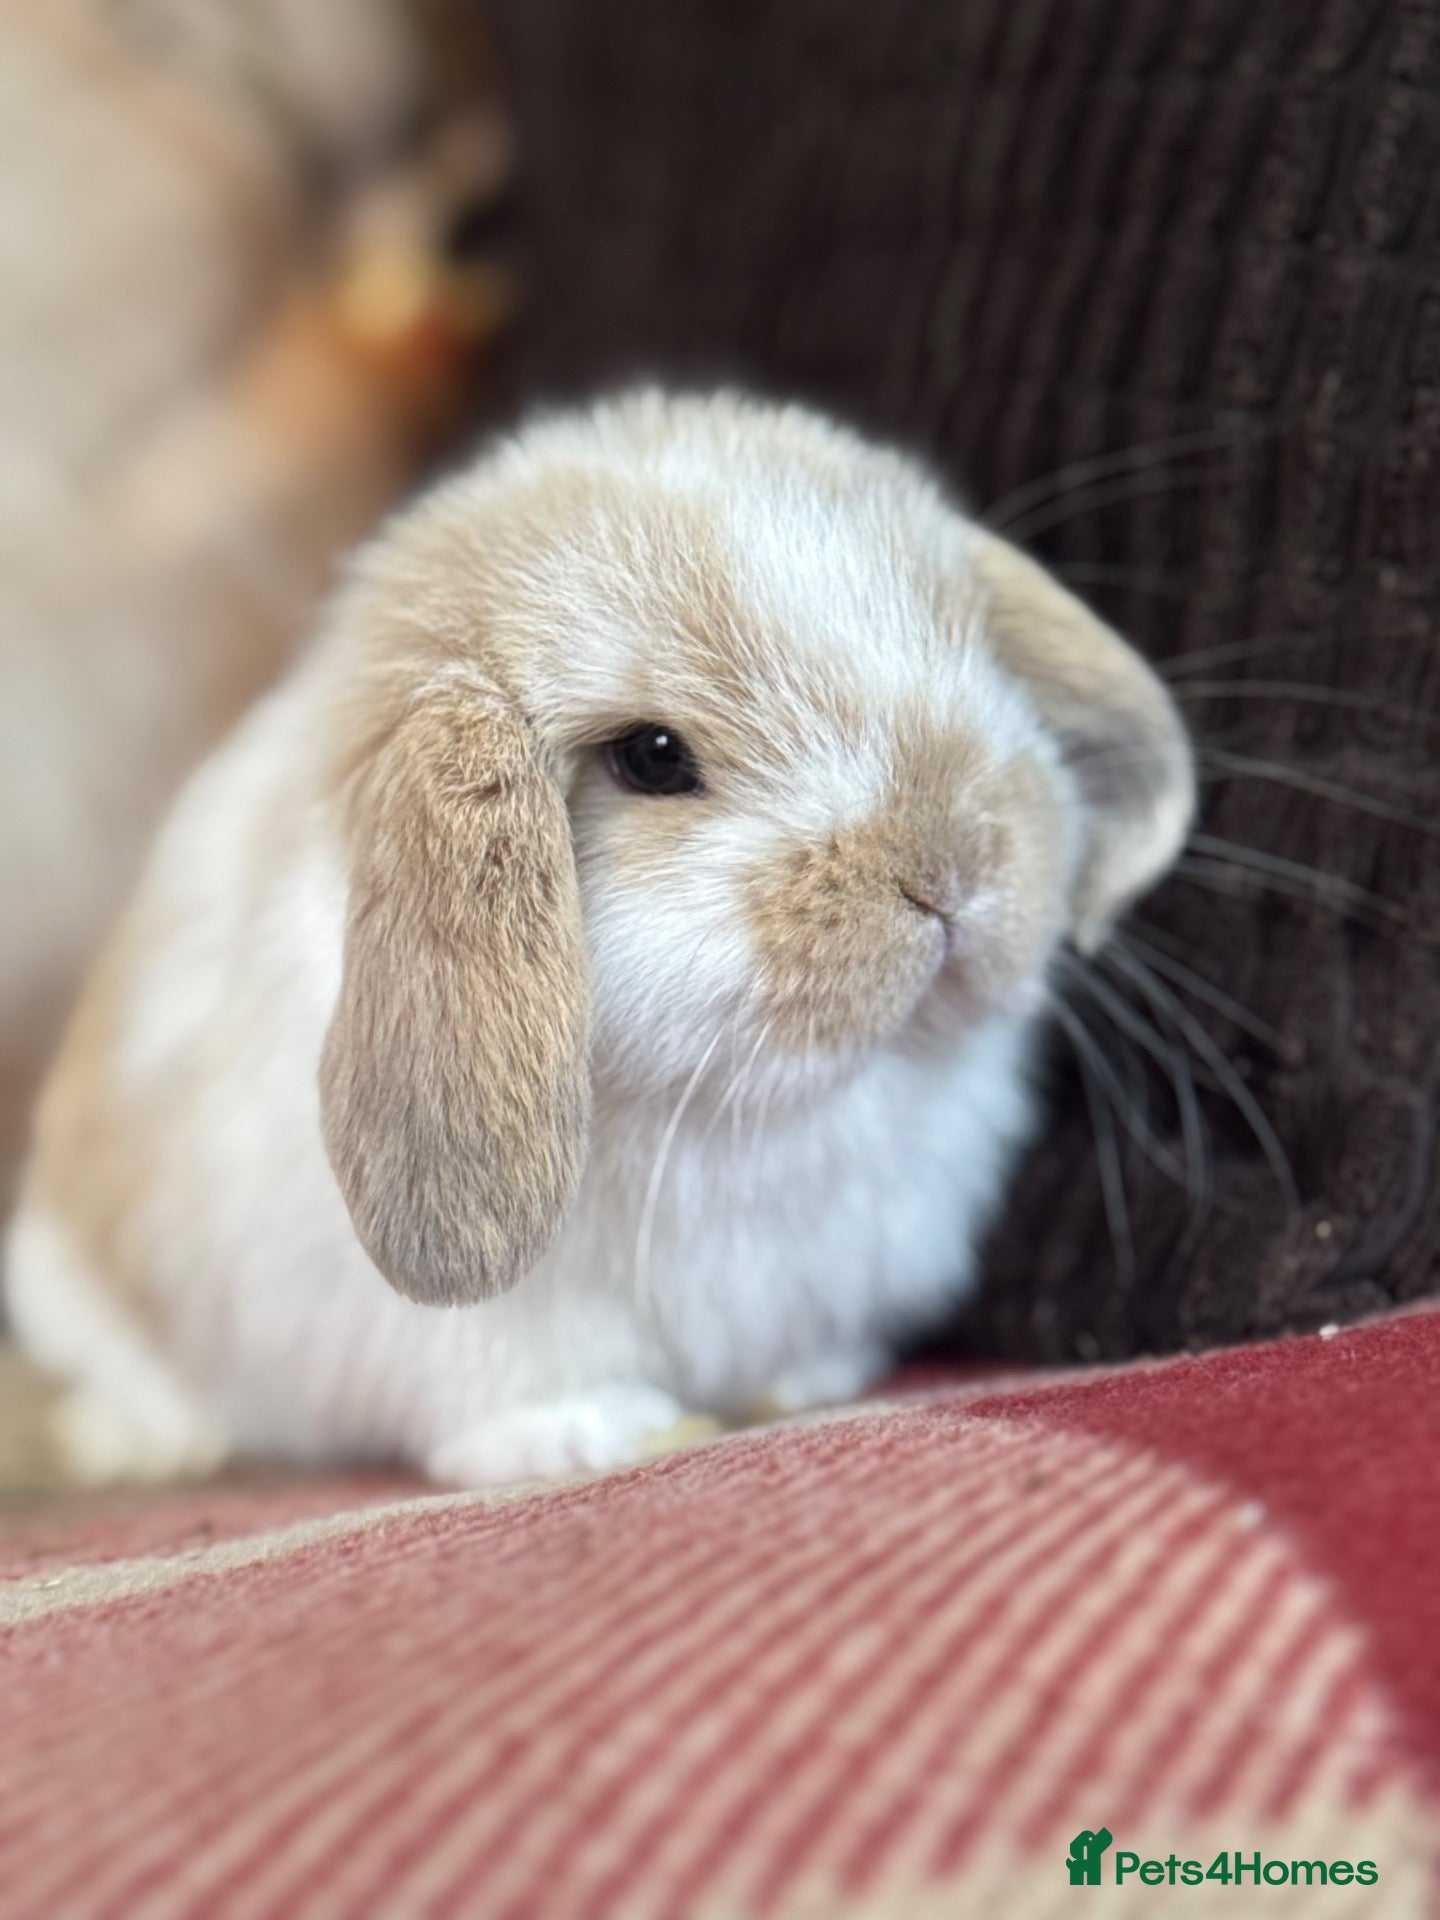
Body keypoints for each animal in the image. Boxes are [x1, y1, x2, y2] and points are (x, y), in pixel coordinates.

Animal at [3, 391, 1194, 1488]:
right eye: (653, 758)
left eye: (967, 645)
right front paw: (600, 1434)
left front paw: (807, 1381)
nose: (947, 871)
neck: (753, 1114)